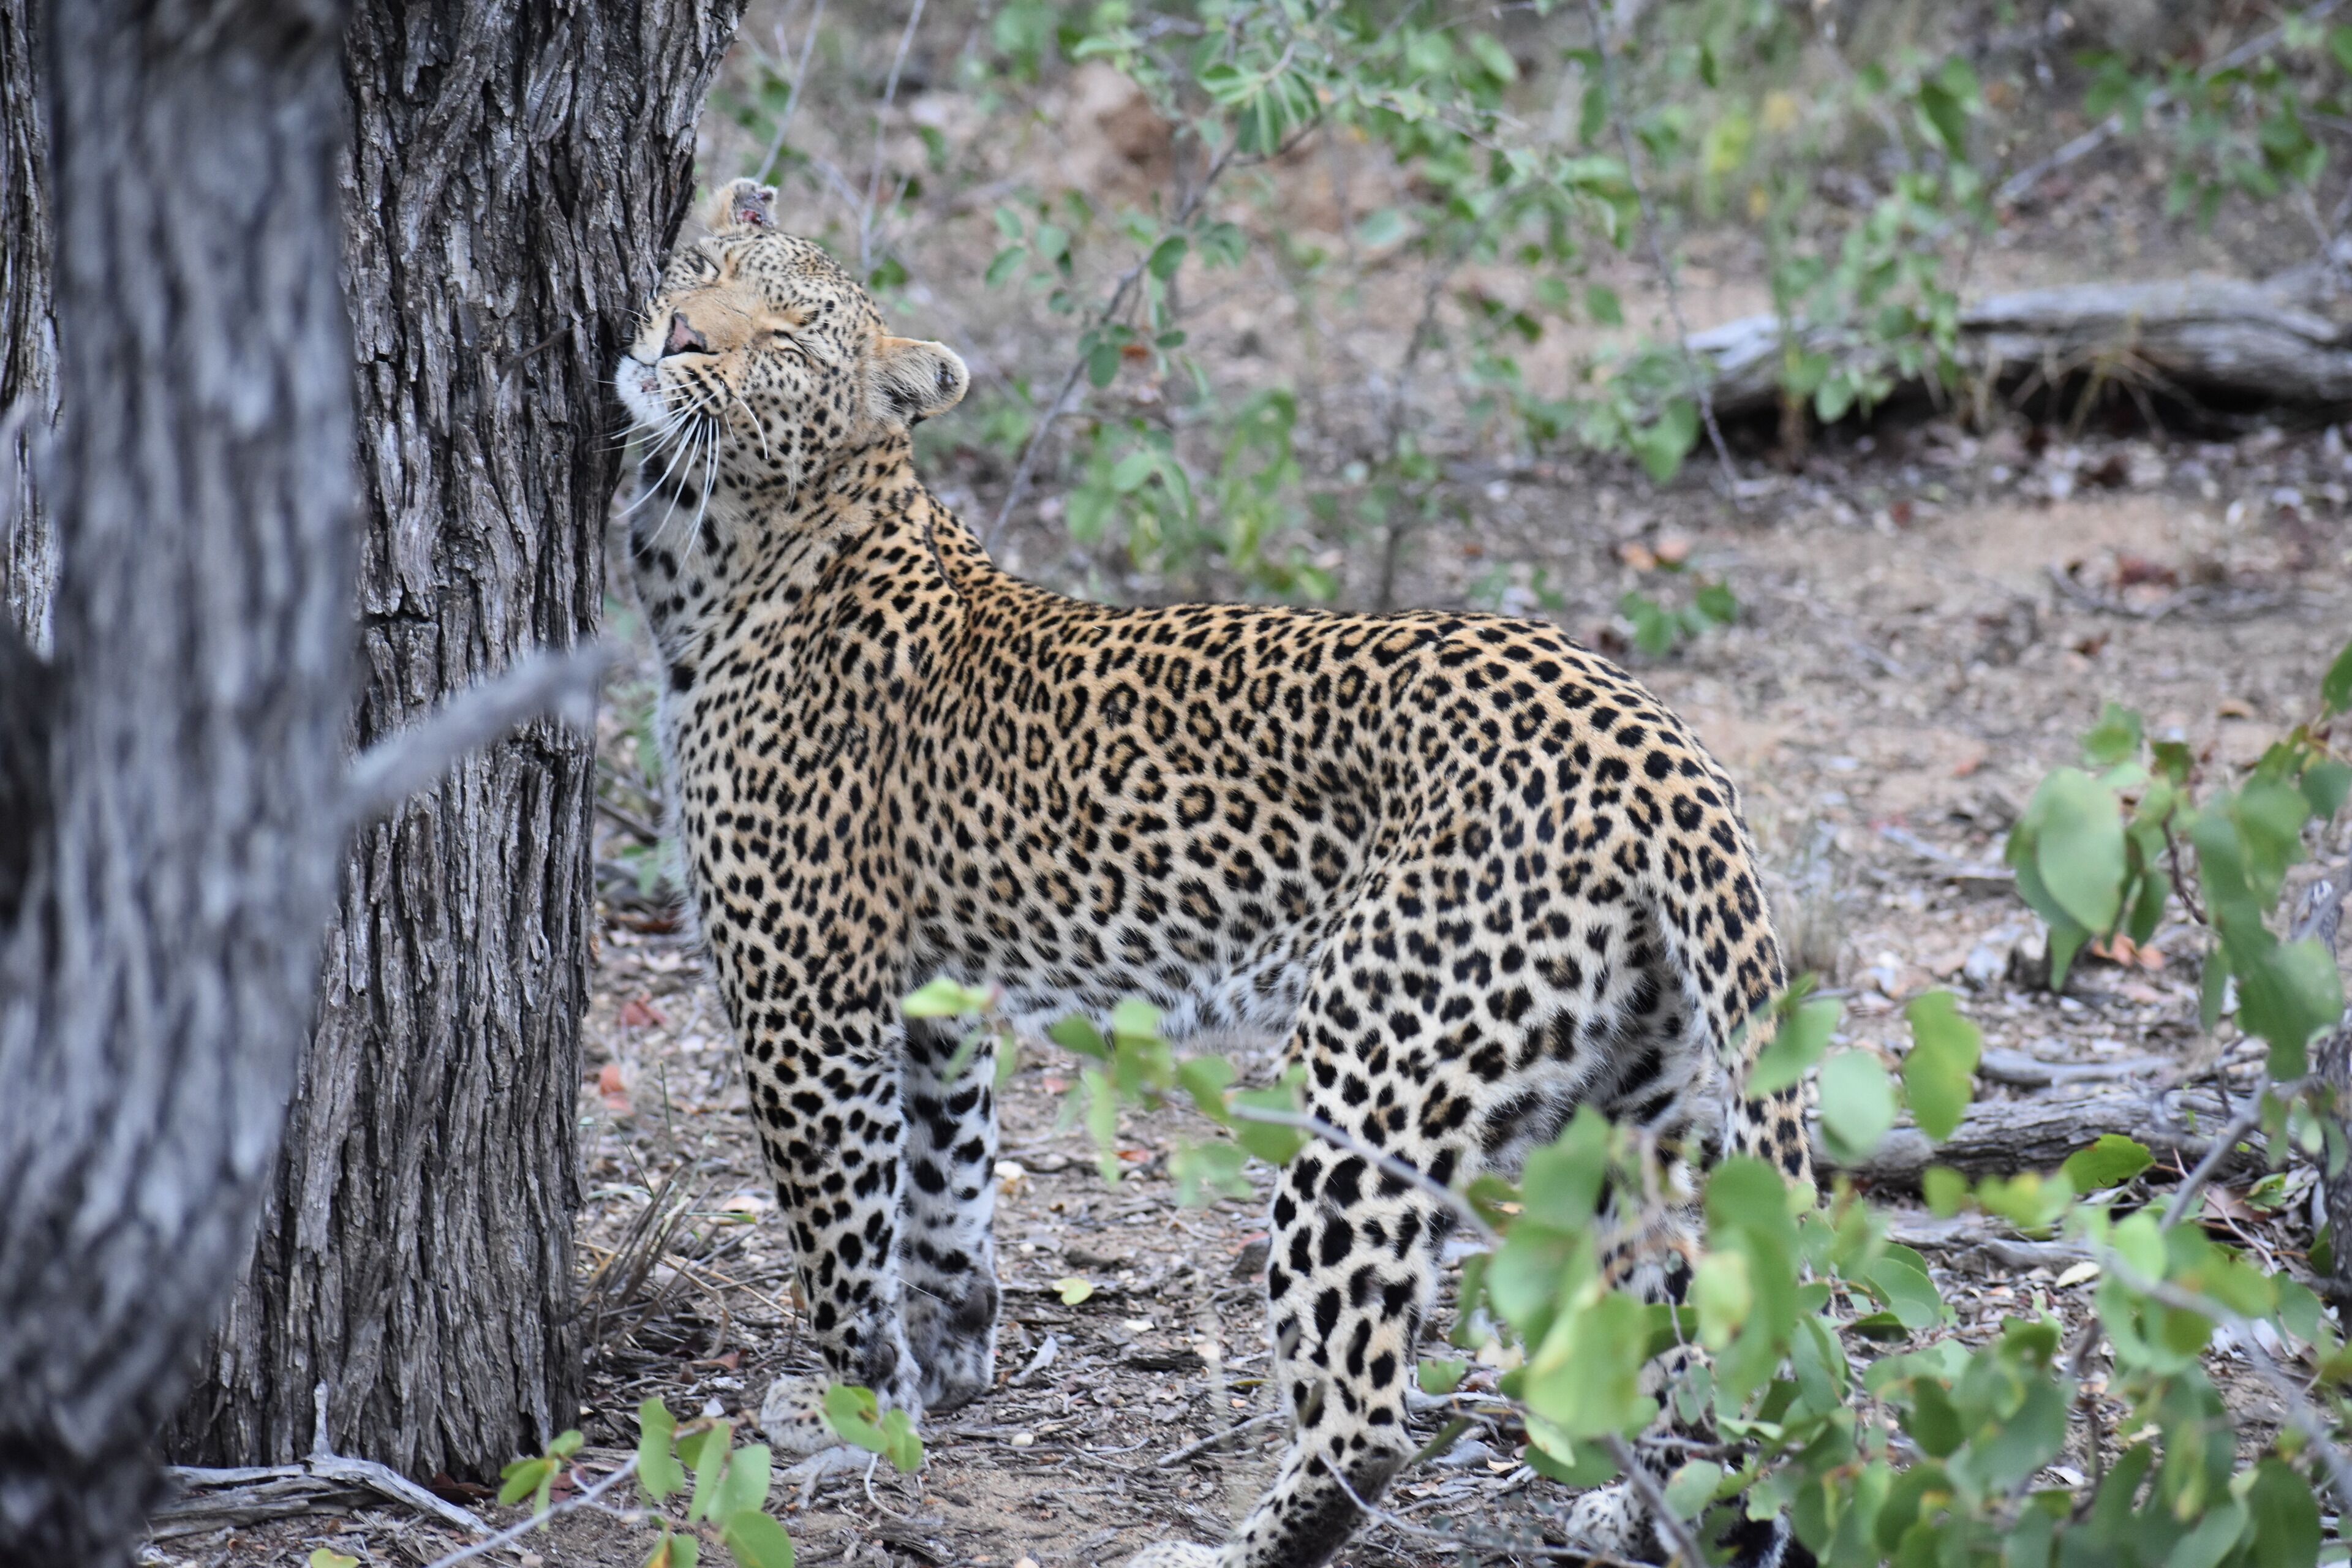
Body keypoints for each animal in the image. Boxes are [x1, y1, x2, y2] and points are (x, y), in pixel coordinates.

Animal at [615, 177, 1814, 1568]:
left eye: (786, 343)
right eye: (702, 266)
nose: (678, 336)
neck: (721, 551)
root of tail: (1652, 737)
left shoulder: (804, 1003)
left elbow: (839, 1235)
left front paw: (852, 1405)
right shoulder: (932, 1000)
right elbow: (944, 1193)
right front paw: (949, 1365)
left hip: (1376, 1082)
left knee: (1370, 1412)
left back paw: (1228, 1546)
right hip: (1637, 1106)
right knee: (1687, 1317)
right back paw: (1653, 1506)